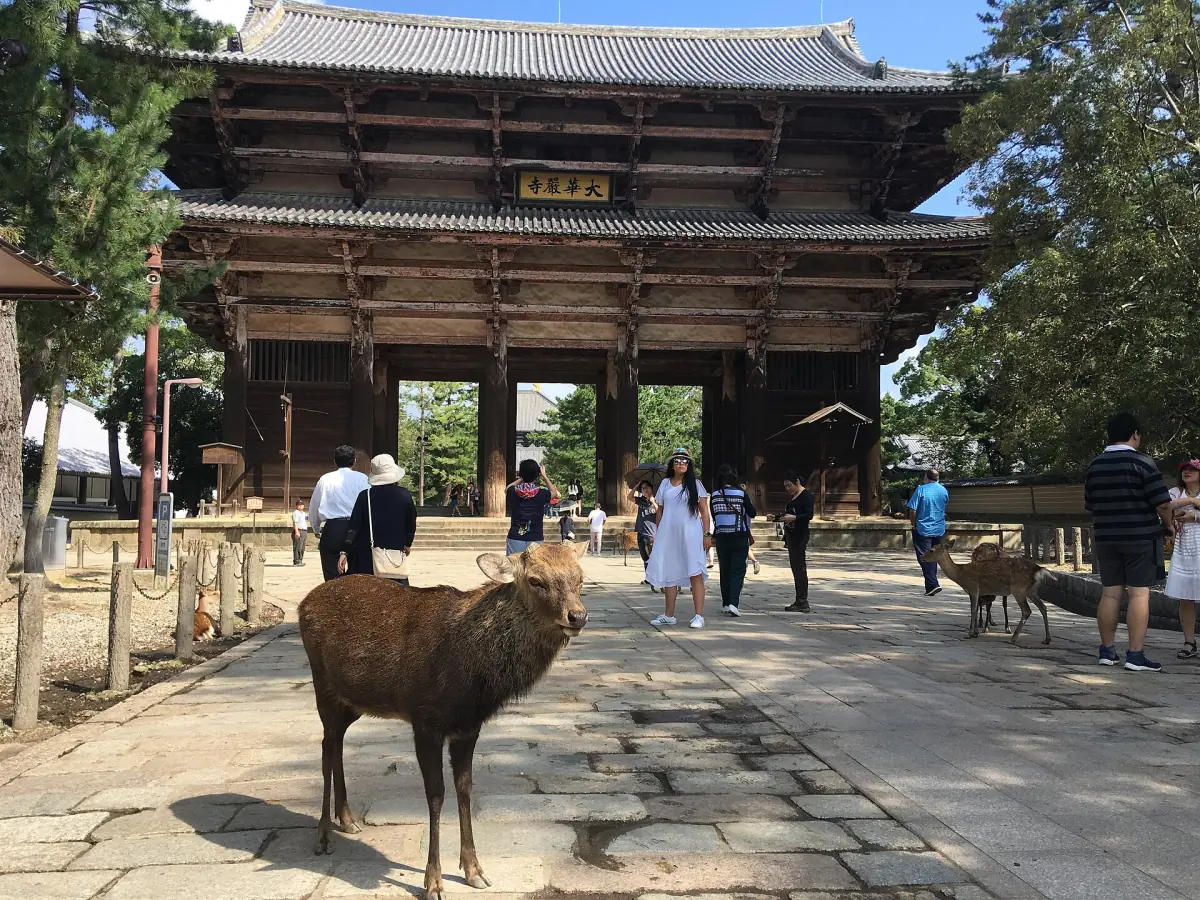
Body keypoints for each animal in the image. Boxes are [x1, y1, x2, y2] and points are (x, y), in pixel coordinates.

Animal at [298, 540, 589, 900]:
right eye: (536, 581)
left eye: (580, 578)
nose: (577, 616)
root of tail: (303, 604)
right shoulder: (425, 720)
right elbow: (436, 794)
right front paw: (433, 882)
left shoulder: (468, 727)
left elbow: (464, 788)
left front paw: (474, 870)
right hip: (321, 682)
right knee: (326, 746)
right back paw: (324, 834)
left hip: (353, 700)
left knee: (336, 742)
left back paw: (347, 819)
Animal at [921, 538, 1052, 646]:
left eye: (931, 550)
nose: (922, 557)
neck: (960, 574)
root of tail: (1039, 570)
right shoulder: (976, 592)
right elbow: (976, 608)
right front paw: (975, 632)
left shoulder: (973, 588)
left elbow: (973, 610)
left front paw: (970, 634)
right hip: (1031, 590)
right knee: (1043, 607)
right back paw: (1047, 639)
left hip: (1018, 588)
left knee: (1027, 610)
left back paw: (1013, 638)